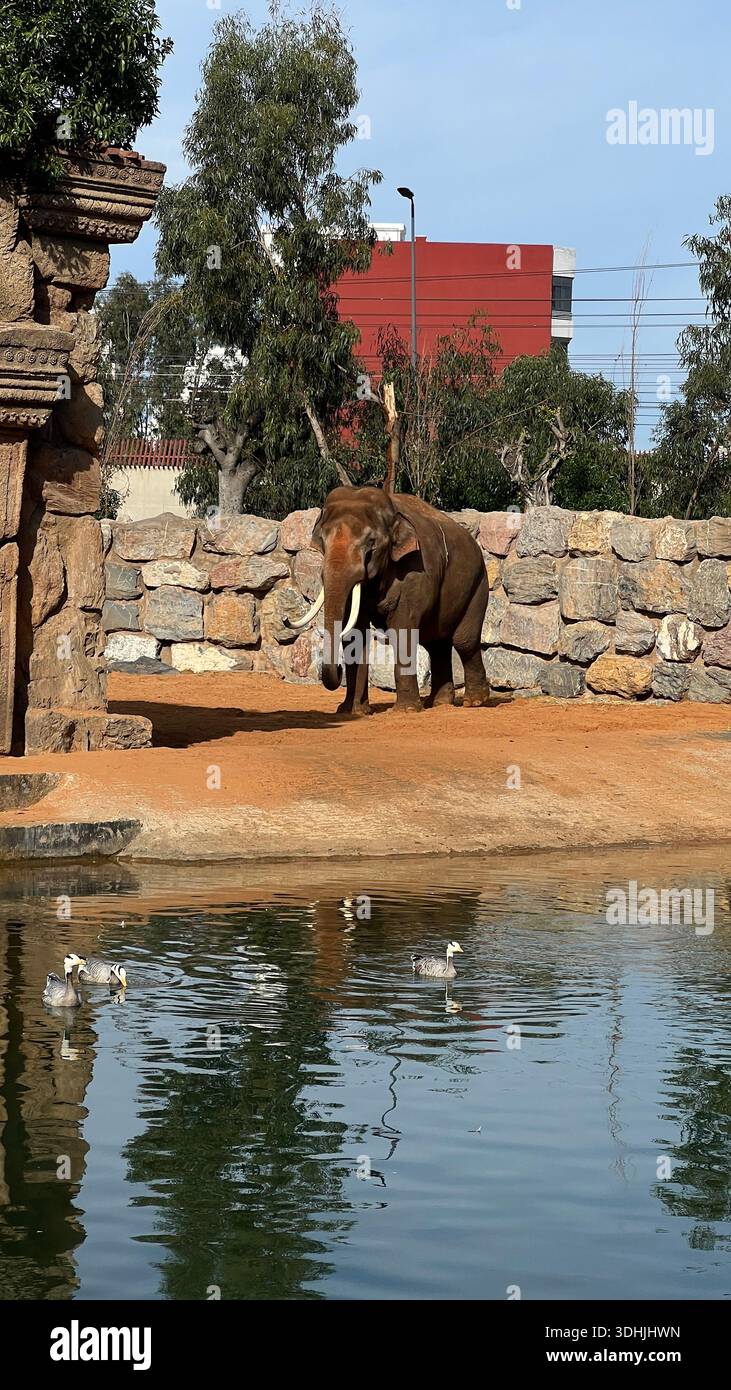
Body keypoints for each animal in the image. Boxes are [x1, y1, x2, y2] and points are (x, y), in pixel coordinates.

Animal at [290, 486, 490, 714]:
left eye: (371, 543)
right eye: (322, 541)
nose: (338, 669)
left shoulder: (416, 571)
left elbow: (402, 629)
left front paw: (407, 710)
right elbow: (356, 632)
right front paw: (352, 711)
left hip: (478, 584)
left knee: (463, 640)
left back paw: (474, 702)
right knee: (436, 643)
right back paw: (438, 703)